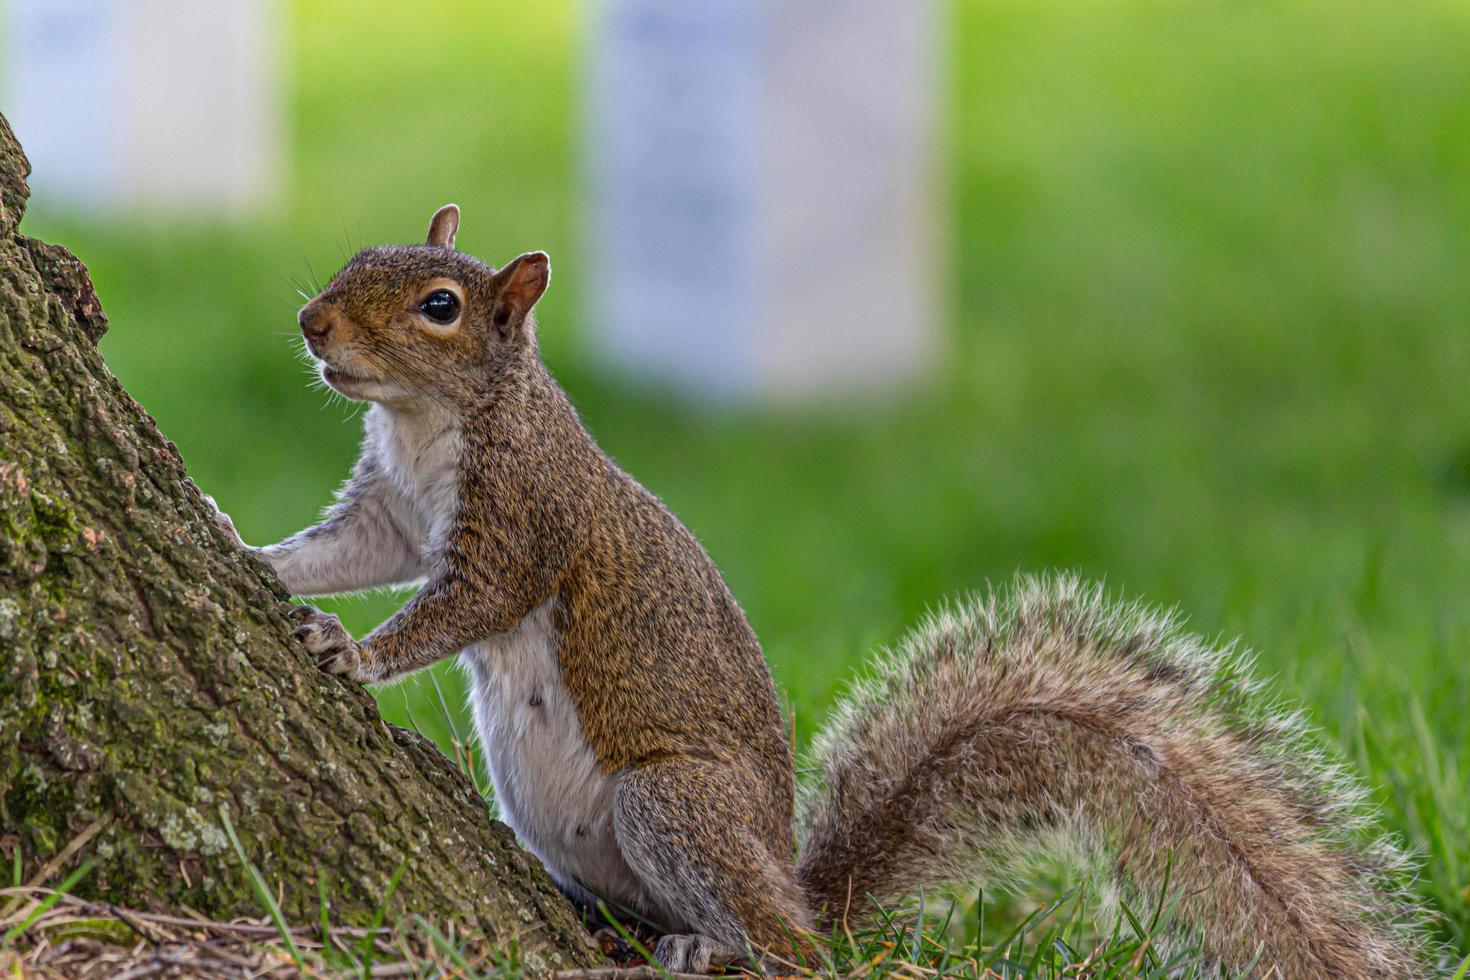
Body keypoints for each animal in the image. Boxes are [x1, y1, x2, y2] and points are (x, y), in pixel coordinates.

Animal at [210, 205, 1434, 975]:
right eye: (355, 257)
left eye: (439, 307)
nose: (314, 325)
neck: (428, 425)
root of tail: (804, 891)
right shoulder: (390, 508)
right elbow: (342, 552)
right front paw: (248, 548)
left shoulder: (521, 524)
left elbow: (452, 608)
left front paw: (352, 652)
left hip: (674, 801)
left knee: (789, 951)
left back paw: (719, 942)